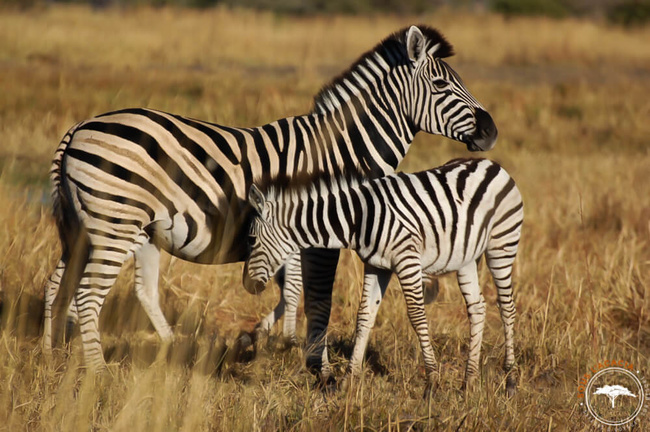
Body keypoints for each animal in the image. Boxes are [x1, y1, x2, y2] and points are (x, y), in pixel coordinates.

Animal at [44, 24, 496, 372]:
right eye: (441, 84)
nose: (491, 131)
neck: (343, 151)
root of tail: (80, 128)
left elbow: (291, 290)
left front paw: (265, 342)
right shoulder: (317, 235)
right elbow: (314, 299)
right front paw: (317, 366)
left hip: (91, 229)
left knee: (61, 286)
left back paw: (59, 356)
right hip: (115, 225)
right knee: (88, 295)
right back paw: (98, 372)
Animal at [243, 158, 520, 394]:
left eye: (252, 239)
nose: (247, 285)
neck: (359, 218)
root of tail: (489, 163)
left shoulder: (407, 259)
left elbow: (417, 316)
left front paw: (432, 380)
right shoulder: (377, 266)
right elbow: (364, 316)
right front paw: (349, 379)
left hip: (501, 245)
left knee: (506, 308)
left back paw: (510, 379)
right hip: (466, 258)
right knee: (478, 307)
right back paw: (469, 381)